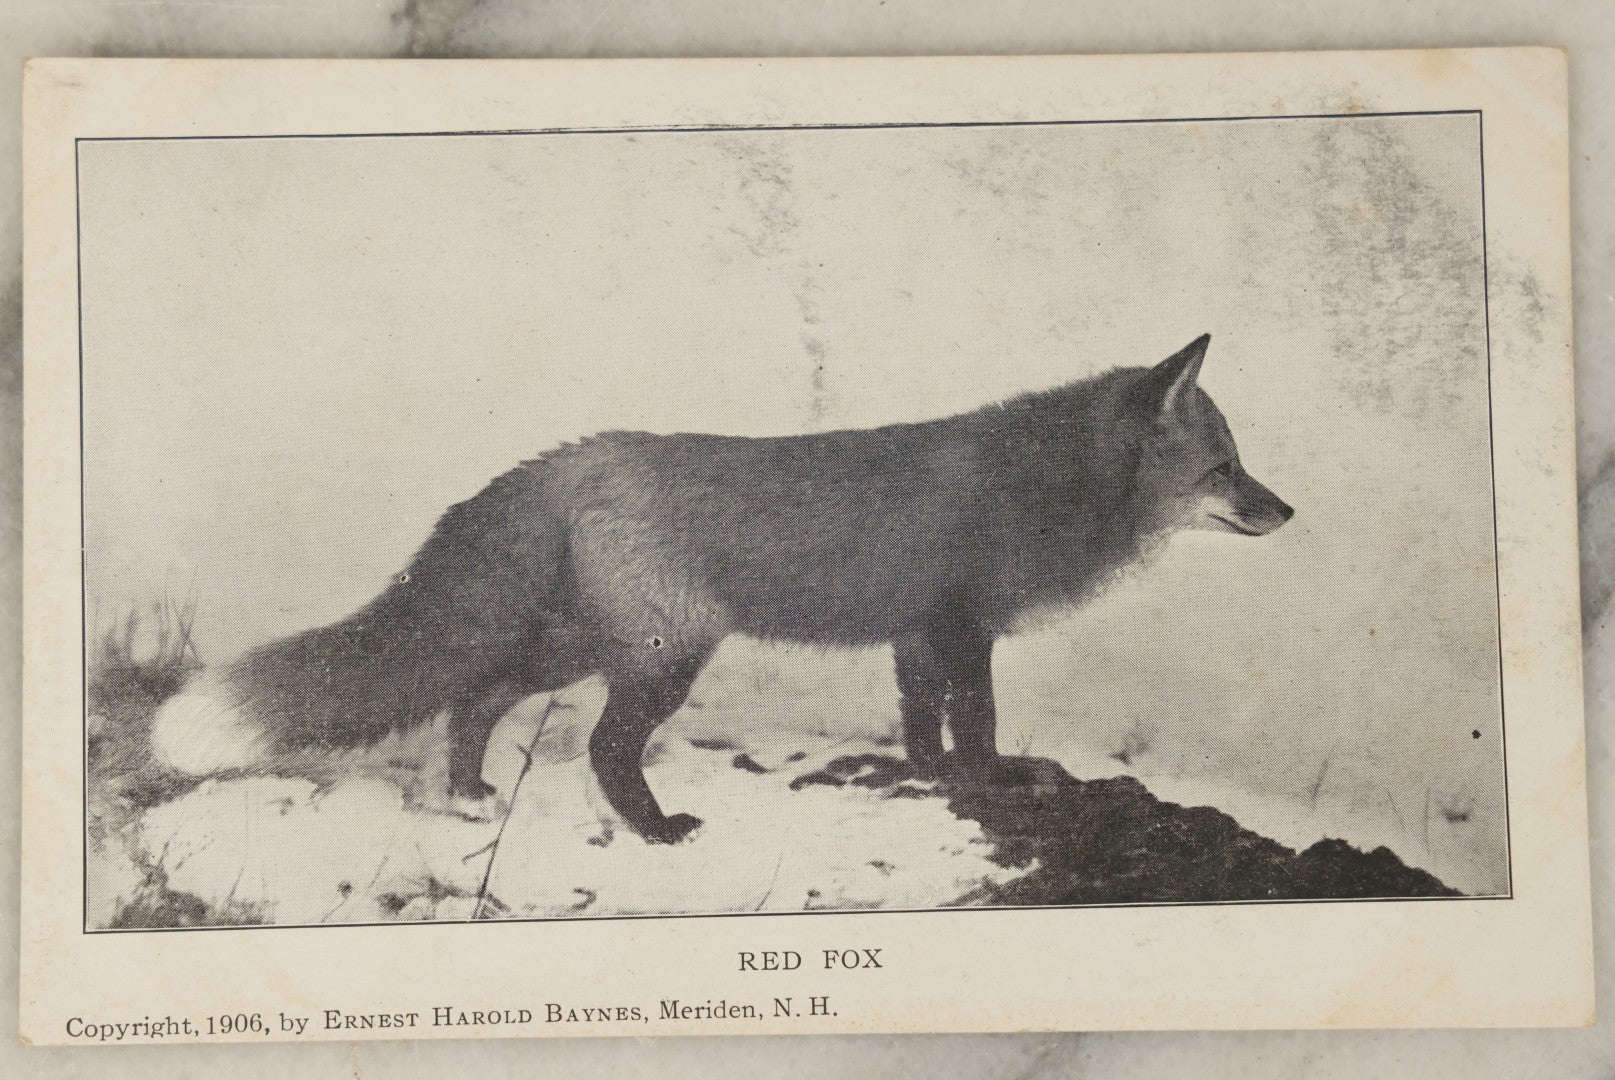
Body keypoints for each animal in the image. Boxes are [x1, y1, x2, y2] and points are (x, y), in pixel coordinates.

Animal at [150, 334, 1292, 844]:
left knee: (476, 697)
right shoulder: (963, 630)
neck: (1047, 488)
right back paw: (655, 830)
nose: (1285, 513)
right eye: (1224, 468)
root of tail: (571, 457)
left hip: (582, 644)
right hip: (663, 659)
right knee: (603, 747)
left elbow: (922, 725)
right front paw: (996, 783)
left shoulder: (917, 635)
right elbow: (975, 726)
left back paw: (470, 792)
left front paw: (930, 781)